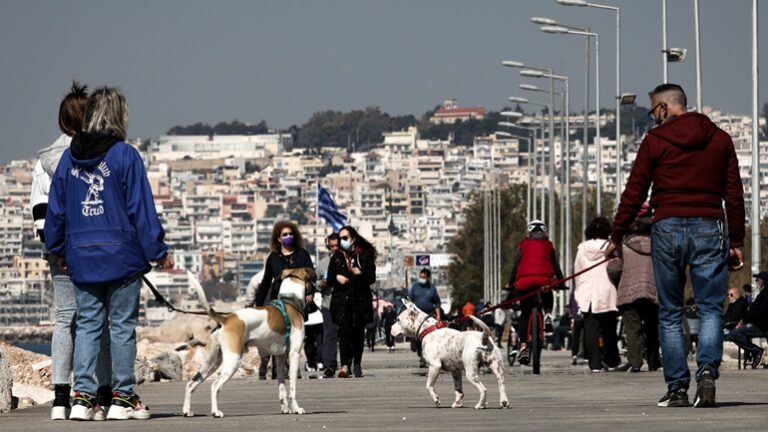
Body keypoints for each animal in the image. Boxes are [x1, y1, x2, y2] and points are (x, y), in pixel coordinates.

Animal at [183, 268, 316, 416]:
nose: (318, 286)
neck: (290, 301)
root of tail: (226, 319)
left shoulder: (280, 356)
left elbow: (281, 386)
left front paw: (285, 408)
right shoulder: (294, 354)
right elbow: (292, 388)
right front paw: (296, 408)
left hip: (211, 363)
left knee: (191, 383)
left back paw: (187, 411)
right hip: (233, 361)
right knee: (215, 386)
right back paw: (216, 412)